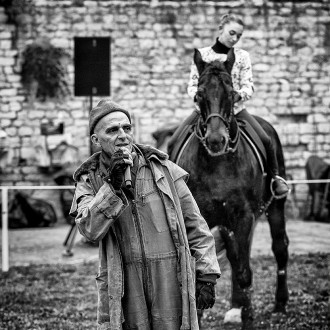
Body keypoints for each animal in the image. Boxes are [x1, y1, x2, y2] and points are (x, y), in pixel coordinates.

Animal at [162, 48, 288, 328]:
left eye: (232, 93)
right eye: (199, 94)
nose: (216, 140)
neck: (217, 163)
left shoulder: (243, 216)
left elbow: (244, 272)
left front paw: (249, 319)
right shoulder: (203, 217)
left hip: (274, 207)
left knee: (279, 247)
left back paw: (280, 303)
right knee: (234, 255)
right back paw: (234, 307)